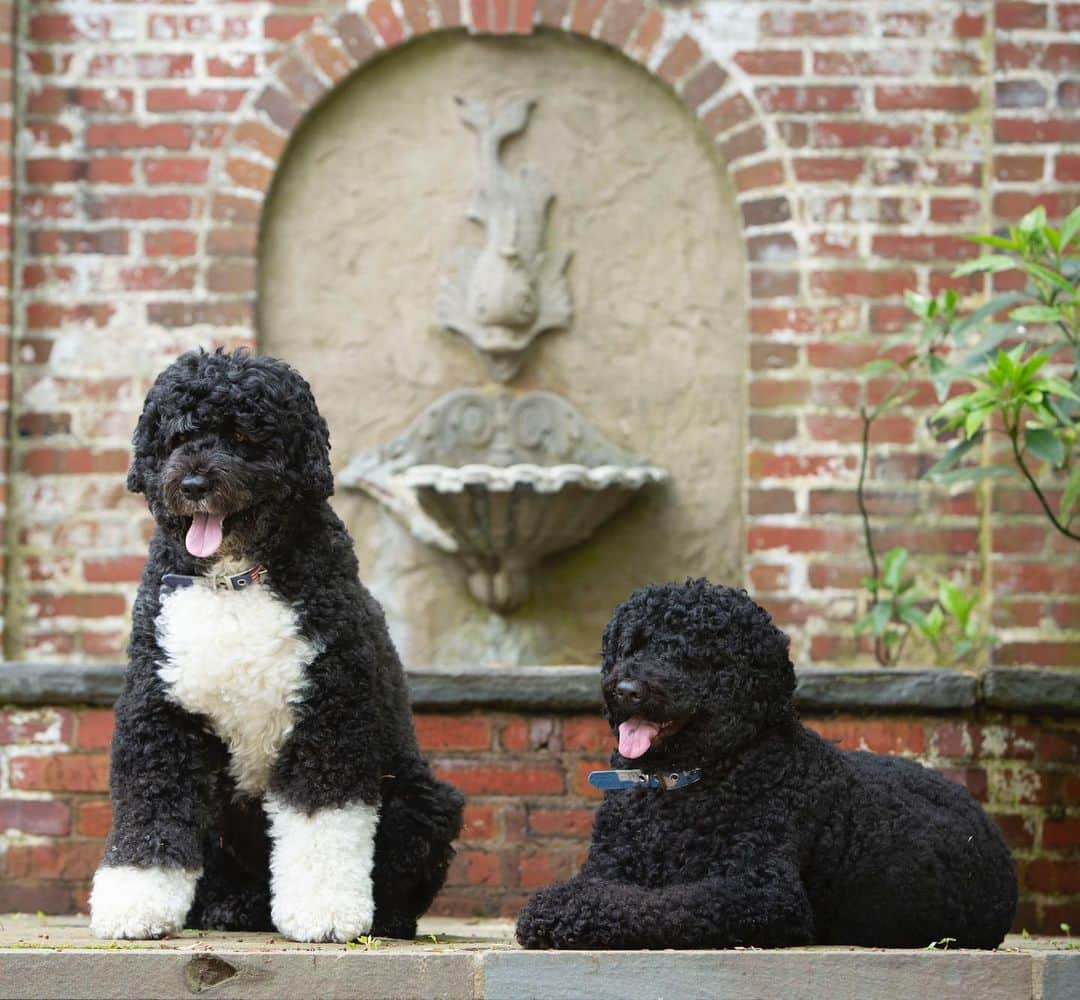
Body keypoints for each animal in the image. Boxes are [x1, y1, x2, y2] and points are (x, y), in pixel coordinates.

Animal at [518, 583, 1015, 950]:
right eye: (631, 645)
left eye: (690, 654)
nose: (626, 689)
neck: (679, 785)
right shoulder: (609, 865)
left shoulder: (762, 891)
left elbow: (661, 904)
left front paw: (561, 907)